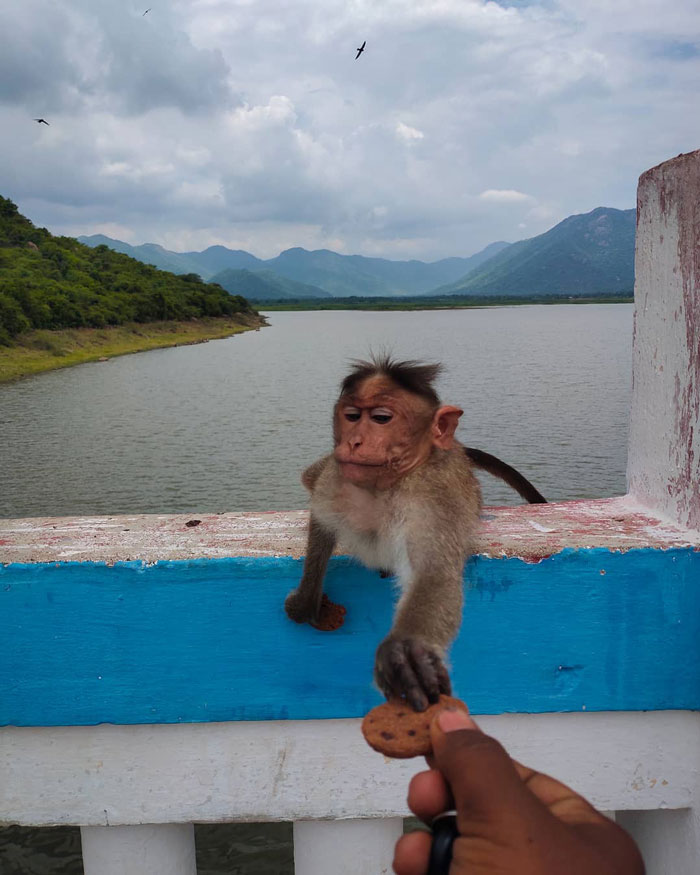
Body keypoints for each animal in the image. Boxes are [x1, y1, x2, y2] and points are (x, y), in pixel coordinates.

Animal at [284, 356, 546, 712]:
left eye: (381, 418)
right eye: (351, 416)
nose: (353, 441)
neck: (382, 488)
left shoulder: (433, 501)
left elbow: (433, 573)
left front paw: (406, 649)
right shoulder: (334, 479)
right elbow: (322, 523)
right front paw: (308, 597)